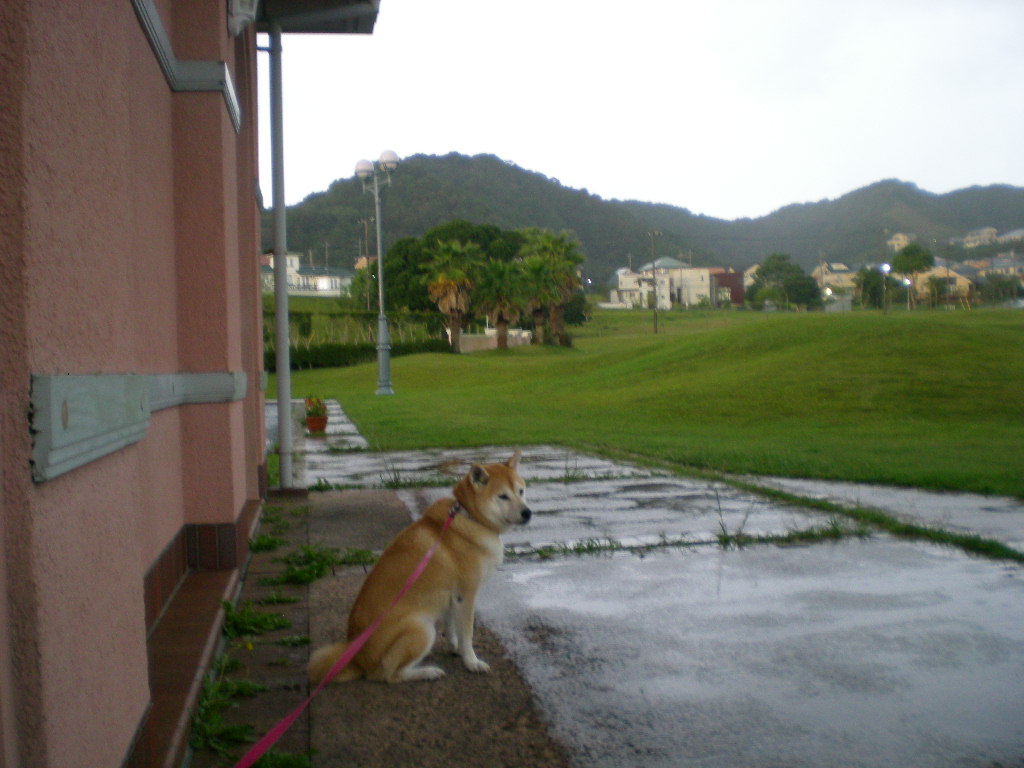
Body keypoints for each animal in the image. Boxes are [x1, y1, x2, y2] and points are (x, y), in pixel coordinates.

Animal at [307, 450, 532, 684]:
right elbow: (467, 633)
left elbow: (451, 626)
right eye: (503, 496)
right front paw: (471, 661)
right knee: (388, 674)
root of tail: (357, 659)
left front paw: (454, 648)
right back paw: (428, 672)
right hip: (421, 628)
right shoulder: (466, 595)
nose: (528, 513)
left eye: (521, 491)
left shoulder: (451, 596)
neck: (472, 519)